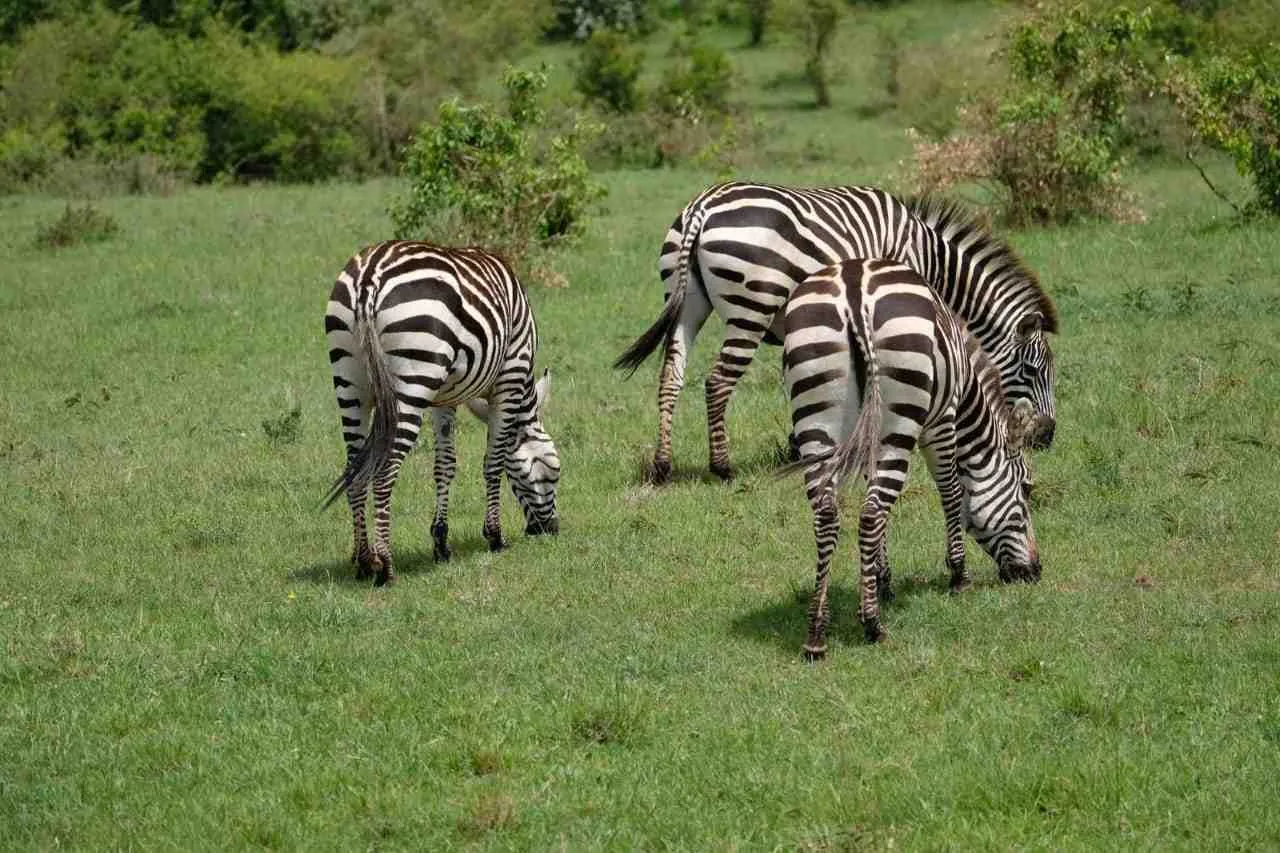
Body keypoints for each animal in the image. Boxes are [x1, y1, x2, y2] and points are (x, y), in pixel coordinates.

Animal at [322, 241, 560, 586]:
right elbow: (494, 461)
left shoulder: (444, 399)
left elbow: (445, 466)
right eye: (554, 469)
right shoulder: (510, 377)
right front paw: (495, 536)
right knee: (383, 473)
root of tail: (370, 276)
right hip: (412, 381)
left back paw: (365, 562)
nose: (552, 530)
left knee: (355, 470)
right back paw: (386, 567)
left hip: (350, 381)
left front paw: (441, 542)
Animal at [614, 182, 1057, 483]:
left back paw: (662, 465)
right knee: (718, 381)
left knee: (671, 375)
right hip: (751, 309)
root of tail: (701, 208)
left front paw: (800, 446)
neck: (928, 258)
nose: (1047, 437)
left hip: (685, 302)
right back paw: (722, 467)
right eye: (1033, 371)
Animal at [784, 258, 1041, 656]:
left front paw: (881, 579)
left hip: (817, 410)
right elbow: (951, 493)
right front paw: (958, 576)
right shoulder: (943, 421)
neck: (967, 385)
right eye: (1027, 489)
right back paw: (873, 625)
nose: (1036, 571)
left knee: (828, 514)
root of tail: (854, 286)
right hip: (900, 411)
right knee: (872, 513)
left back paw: (816, 633)